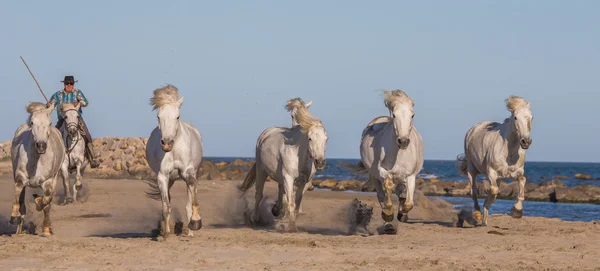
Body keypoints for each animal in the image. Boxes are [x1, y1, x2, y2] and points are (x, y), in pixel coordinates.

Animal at [10, 103, 66, 237]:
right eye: (32, 122)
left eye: (50, 123)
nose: (41, 145)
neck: (37, 159)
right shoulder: (20, 176)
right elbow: (18, 192)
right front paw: (14, 217)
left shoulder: (48, 181)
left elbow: (46, 200)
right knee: (22, 201)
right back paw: (19, 229)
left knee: (48, 203)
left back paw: (47, 228)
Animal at [145, 84, 204, 238]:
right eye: (158, 116)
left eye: (177, 116)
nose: (166, 143)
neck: (173, 150)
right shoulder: (162, 176)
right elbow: (166, 205)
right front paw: (165, 233)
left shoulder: (188, 171)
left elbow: (191, 199)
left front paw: (196, 222)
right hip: (170, 179)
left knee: (190, 197)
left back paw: (190, 232)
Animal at [238, 99, 328, 233]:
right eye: (310, 138)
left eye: (326, 139)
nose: (320, 162)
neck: (299, 154)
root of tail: (266, 133)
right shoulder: (289, 178)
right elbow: (291, 202)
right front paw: (291, 227)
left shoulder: (304, 182)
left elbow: (296, 204)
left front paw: (287, 222)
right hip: (261, 170)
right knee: (259, 194)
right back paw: (254, 219)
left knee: (280, 190)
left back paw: (277, 210)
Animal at [358, 90, 424, 235]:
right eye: (394, 115)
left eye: (412, 115)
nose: (403, 141)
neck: (399, 154)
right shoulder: (383, 173)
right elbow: (387, 195)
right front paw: (388, 216)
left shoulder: (410, 176)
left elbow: (409, 203)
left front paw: (402, 213)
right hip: (375, 177)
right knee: (381, 196)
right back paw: (388, 224)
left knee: (401, 193)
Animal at [454, 96, 536, 226]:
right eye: (515, 117)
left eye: (531, 117)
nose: (526, 142)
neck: (509, 151)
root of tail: (473, 129)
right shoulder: (491, 172)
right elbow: (493, 191)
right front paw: (484, 209)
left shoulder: (517, 172)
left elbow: (522, 180)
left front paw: (517, 211)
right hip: (472, 169)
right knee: (473, 190)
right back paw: (477, 214)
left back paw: (484, 220)